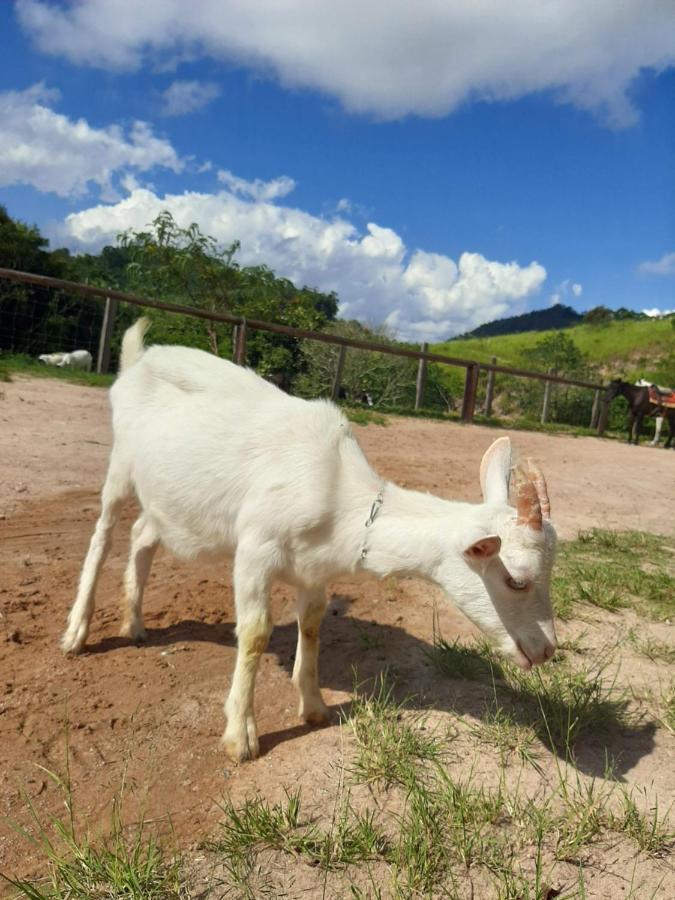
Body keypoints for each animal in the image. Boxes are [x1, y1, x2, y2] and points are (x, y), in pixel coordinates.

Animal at [63, 320, 556, 764]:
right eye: (516, 580)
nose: (548, 650)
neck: (339, 494)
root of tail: (138, 359)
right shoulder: (255, 549)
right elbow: (256, 634)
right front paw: (240, 737)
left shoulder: (315, 569)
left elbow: (314, 623)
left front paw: (315, 706)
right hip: (120, 464)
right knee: (103, 534)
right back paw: (76, 633)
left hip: (167, 499)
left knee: (143, 534)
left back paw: (134, 623)